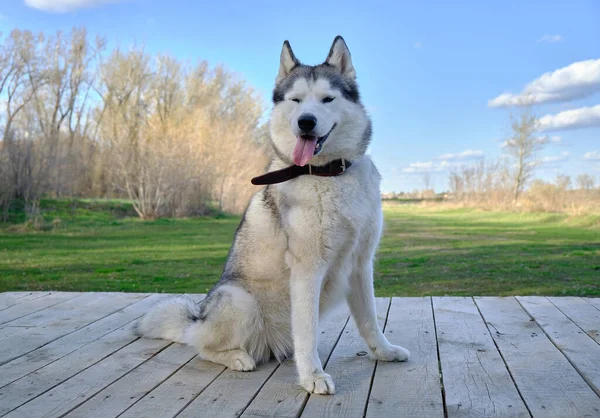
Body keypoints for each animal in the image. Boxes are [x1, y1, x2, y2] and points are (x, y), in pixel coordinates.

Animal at [135, 36, 408, 396]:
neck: (329, 175)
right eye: (296, 100)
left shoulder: (361, 264)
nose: (305, 121)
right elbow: (308, 333)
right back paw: (237, 357)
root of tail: (199, 317)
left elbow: (370, 320)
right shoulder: (308, 270)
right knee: (202, 347)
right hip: (240, 301)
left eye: (327, 99)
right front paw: (313, 376)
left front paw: (384, 351)